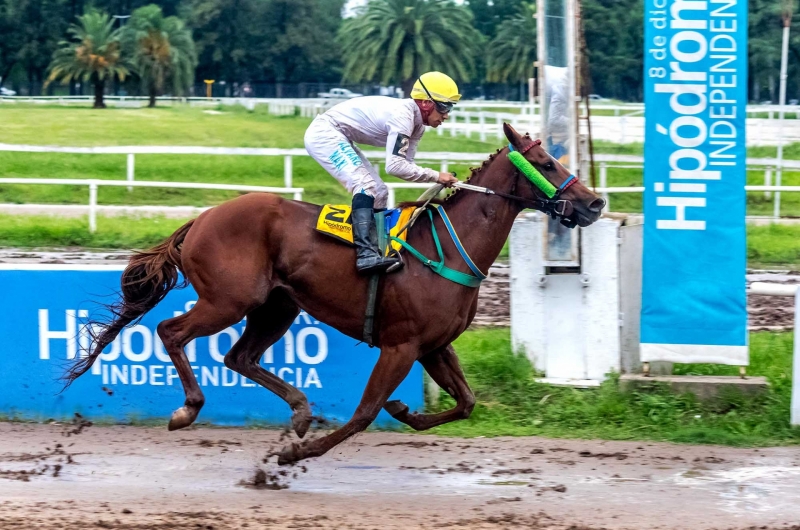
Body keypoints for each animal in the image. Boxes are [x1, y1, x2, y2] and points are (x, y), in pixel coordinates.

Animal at [65, 124, 604, 462]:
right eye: (545, 162)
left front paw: (403, 410)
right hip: (228, 301)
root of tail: (202, 218)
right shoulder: (401, 345)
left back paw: (301, 411)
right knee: (170, 331)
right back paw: (189, 409)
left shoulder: (434, 345)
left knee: (238, 357)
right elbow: (364, 413)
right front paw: (296, 452)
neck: (448, 248)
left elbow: (466, 403)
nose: (595, 203)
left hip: (276, 307)